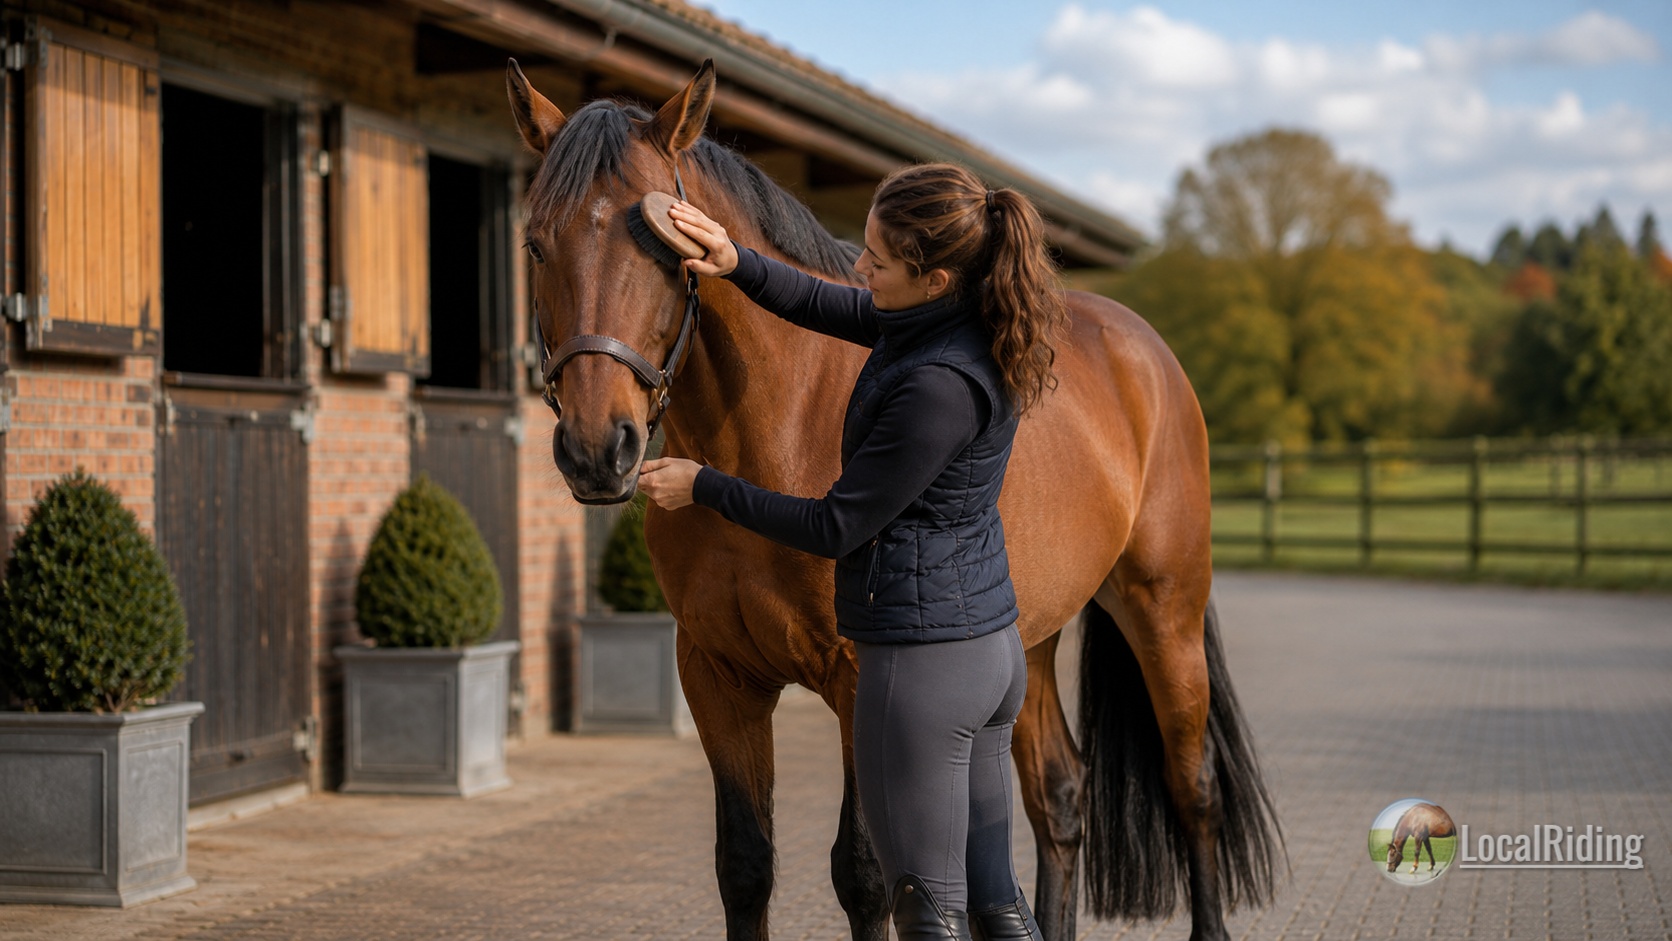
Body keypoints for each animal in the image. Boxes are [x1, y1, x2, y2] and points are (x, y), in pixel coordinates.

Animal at [506, 58, 1283, 941]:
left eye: (668, 251)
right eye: (535, 243)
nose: (597, 449)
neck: (779, 425)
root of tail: (1147, 350)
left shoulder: (858, 680)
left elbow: (865, 872)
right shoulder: (716, 674)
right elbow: (744, 864)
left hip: (1164, 612)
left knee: (1195, 788)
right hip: (1029, 644)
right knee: (1059, 797)